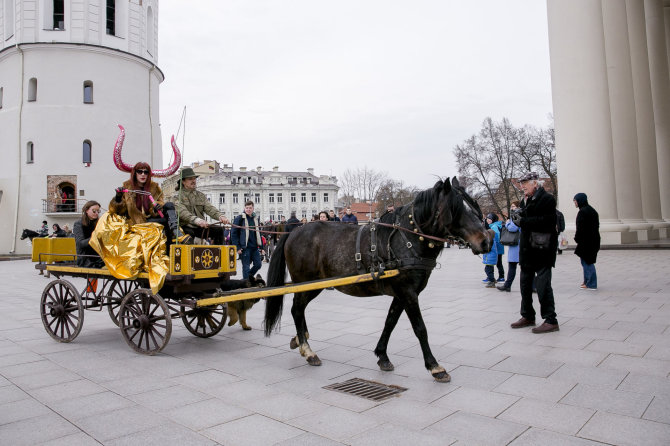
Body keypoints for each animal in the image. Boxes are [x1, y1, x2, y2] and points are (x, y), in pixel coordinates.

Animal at [266, 178, 494, 384]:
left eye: (474, 207)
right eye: (456, 209)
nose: (486, 241)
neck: (407, 239)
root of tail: (293, 231)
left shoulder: (402, 294)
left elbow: (390, 322)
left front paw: (382, 356)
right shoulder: (408, 293)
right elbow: (420, 328)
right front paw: (435, 367)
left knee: (299, 309)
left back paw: (300, 339)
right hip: (307, 283)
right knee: (297, 309)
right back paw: (308, 350)